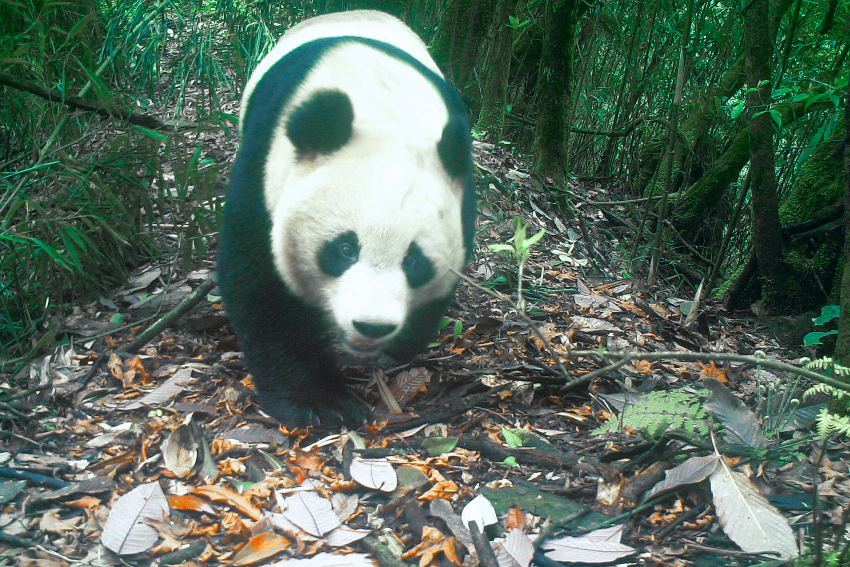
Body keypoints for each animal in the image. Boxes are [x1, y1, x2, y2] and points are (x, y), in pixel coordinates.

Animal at [215, 10, 474, 426]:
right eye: (344, 249)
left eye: (414, 261)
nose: (372, 326)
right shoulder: (265, 167)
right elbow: (261, 283)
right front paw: (318, 402)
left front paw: (401, 346)